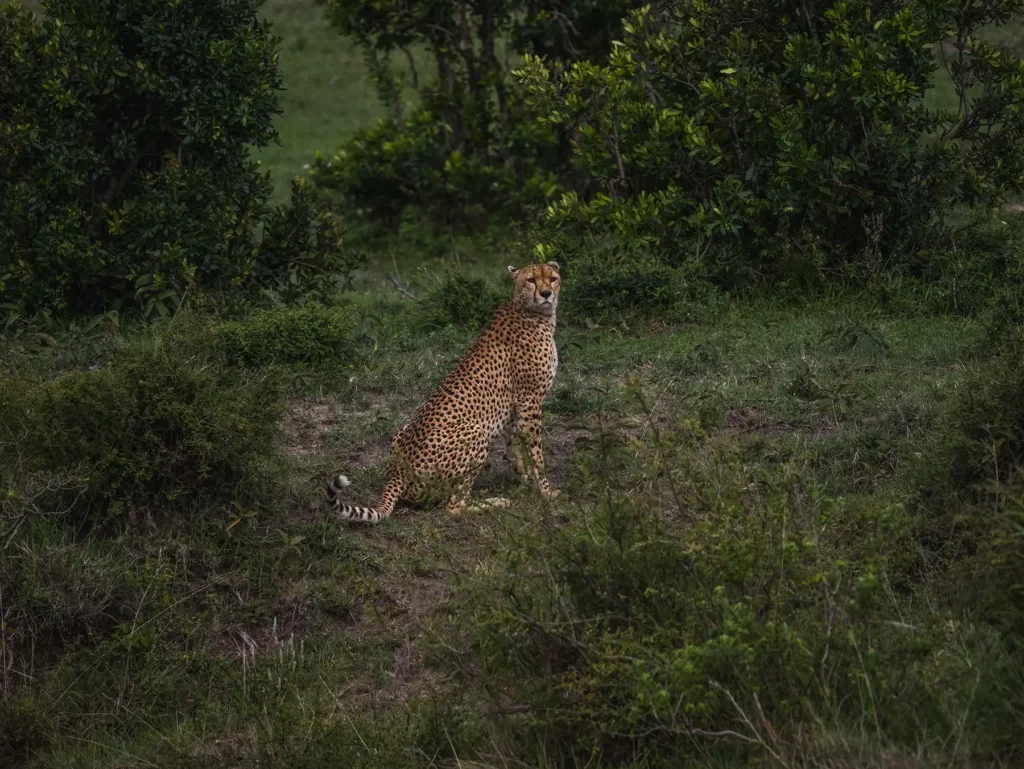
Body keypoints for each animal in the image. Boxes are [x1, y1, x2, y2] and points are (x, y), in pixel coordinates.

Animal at [325, 260, 562, 524]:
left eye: (552, 278)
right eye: (531, 280)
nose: (546, 294)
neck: (527, 309)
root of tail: (398, 472)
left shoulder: (515, 405)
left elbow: (514, 446)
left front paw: (521, 479)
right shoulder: (530, 399)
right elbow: (536, 452)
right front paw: (546, 491)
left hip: (403, 431)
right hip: (476, 435)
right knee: (453, 507)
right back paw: (494, 503)